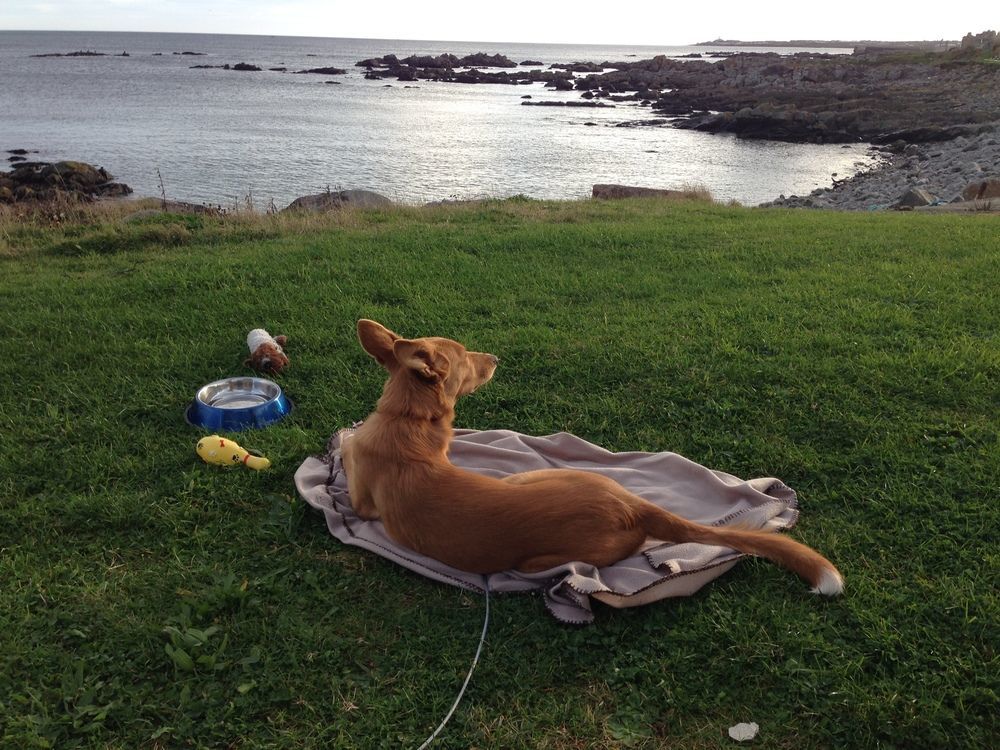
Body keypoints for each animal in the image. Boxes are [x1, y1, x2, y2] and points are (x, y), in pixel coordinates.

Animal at [344, 320, 844, 596]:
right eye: (466, 357)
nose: (497, 357)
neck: (406, 419)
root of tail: (634, 506)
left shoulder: (362, 501)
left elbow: (347, 452)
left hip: (526, 505)